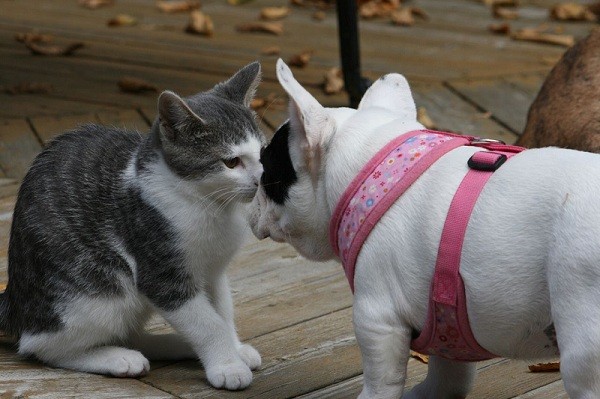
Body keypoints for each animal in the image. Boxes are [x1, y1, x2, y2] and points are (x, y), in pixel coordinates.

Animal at [0, 61, 268, 390]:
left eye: (262, 152)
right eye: (231, 162)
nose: (261, 180)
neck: (209, 203)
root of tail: (15, 303)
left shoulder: (213, 271)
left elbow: (222, 311)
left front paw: (235, 349)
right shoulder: (161, 274)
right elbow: (206, 323)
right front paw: (228, 365)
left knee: (126, 331)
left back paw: (170, 344)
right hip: (102, 288)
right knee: (41, 346)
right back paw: (118, 358)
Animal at [251, 60, 600, 399]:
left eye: (266, 172)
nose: (250, 196)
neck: (369, 167)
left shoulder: (378, 320)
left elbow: (381, 384)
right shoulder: (450, 332)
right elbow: (448, 379)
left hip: (583, 340)